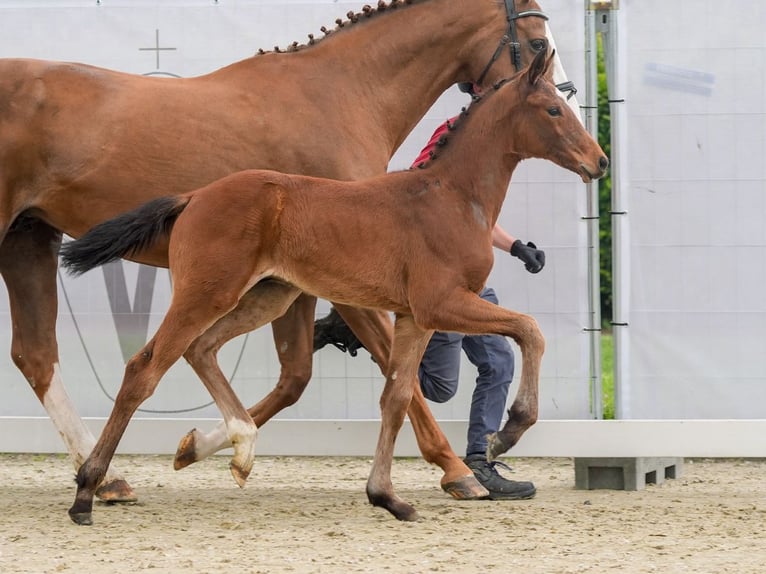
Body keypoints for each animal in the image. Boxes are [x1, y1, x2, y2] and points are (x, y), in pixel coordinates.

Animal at [0, 0, 556, 504]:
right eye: (537, 44)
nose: (564, 93)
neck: (340, 95)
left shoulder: (299, 281)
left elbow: (296, 377)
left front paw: (203, 447)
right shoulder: (353, 282)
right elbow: (390, 371)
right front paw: (457, 470)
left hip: (28, 239)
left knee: (37, 355)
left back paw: (106, 478)